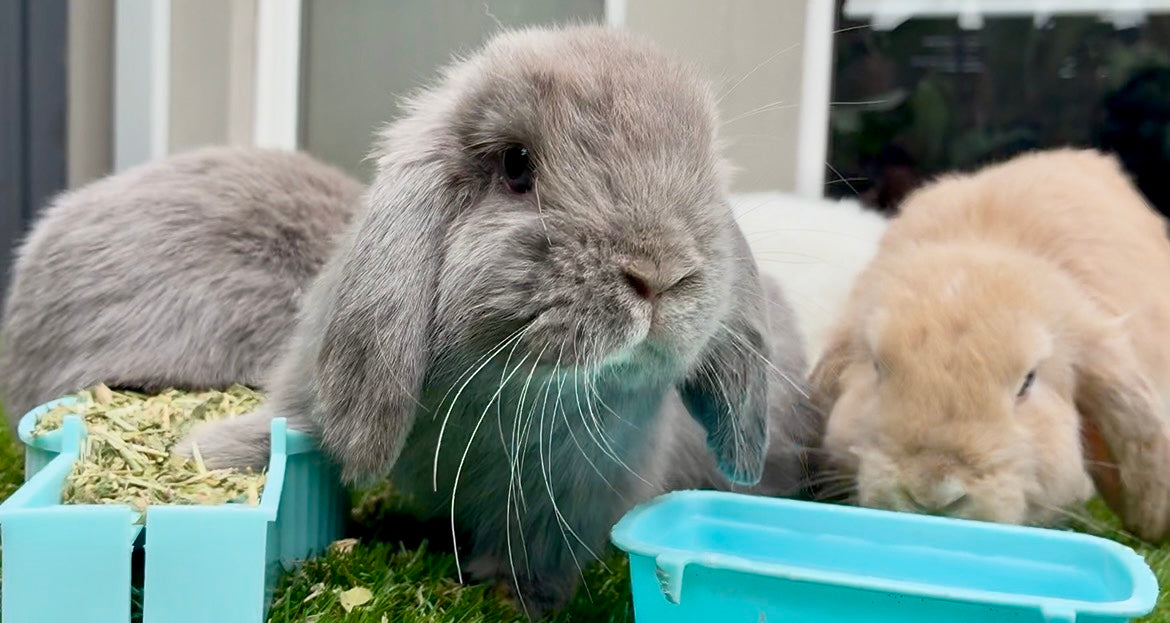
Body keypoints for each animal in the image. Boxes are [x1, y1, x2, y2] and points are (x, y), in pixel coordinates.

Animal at [177, 24, 819, 617]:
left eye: (705, 168)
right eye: (517, 164)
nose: (659, 273)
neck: (498, 389)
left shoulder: (567, 503)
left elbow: (539, 557)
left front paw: (511, 600)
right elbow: (287, 428)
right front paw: (202, 452)